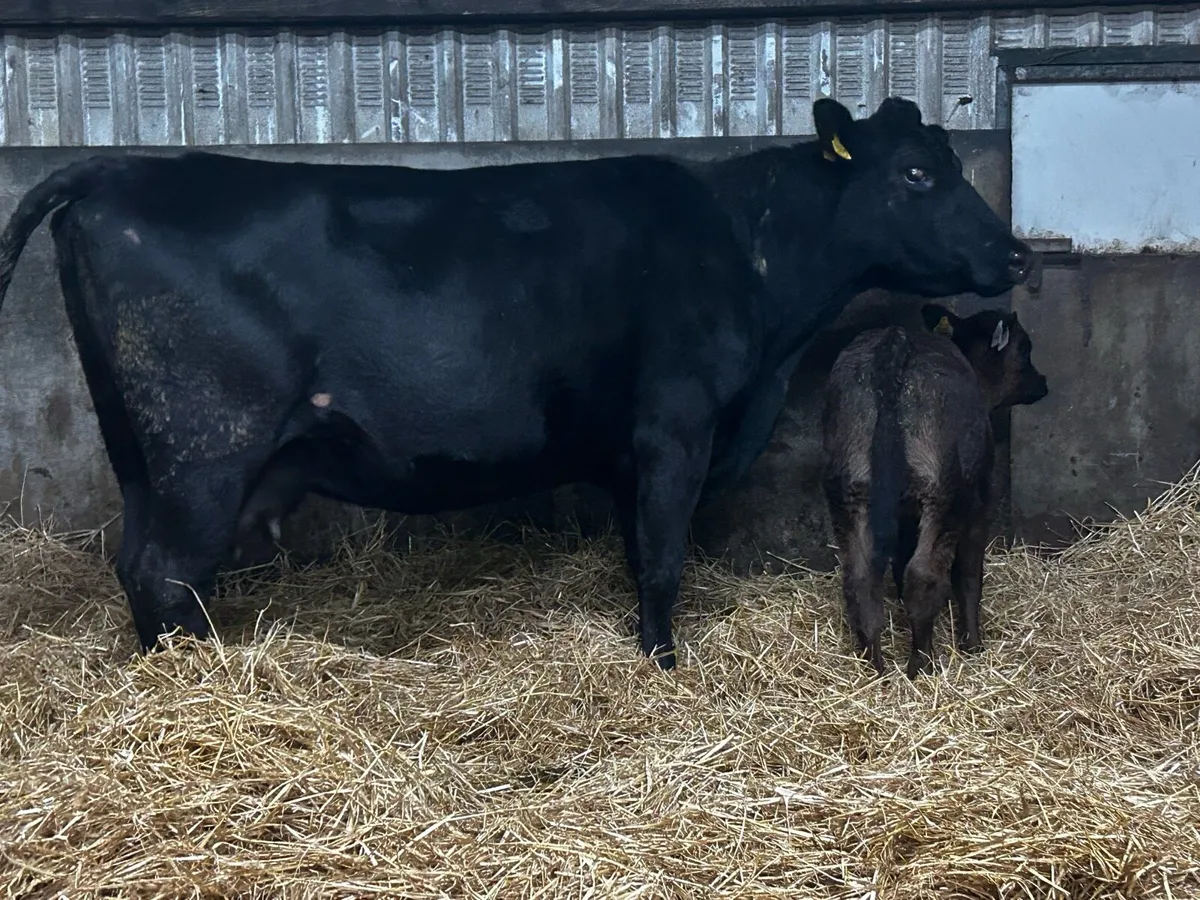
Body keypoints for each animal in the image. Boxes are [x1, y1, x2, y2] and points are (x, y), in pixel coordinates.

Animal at [821, 304, 1048, 679]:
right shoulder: (979, 504)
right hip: (944, 497)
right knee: (924, 575)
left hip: (849, 495)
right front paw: (972, 645)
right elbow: (969, 575)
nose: (1042, 383)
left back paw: (876, 667)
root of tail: (895, 343)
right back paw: (920, 663)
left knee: (860, 577)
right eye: (1025, 348)